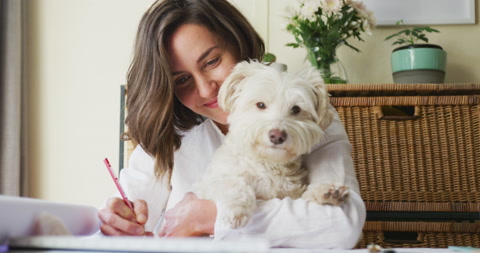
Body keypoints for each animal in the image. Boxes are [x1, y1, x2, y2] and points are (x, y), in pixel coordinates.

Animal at [195, 60, 348, 228]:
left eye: (296, 109)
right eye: (261, 105)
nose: (277, 136)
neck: (268, 164)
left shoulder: (291, 195)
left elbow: (303, 197)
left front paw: (325, 193)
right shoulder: (207, 184)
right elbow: (231, 182)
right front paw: (236, 209)